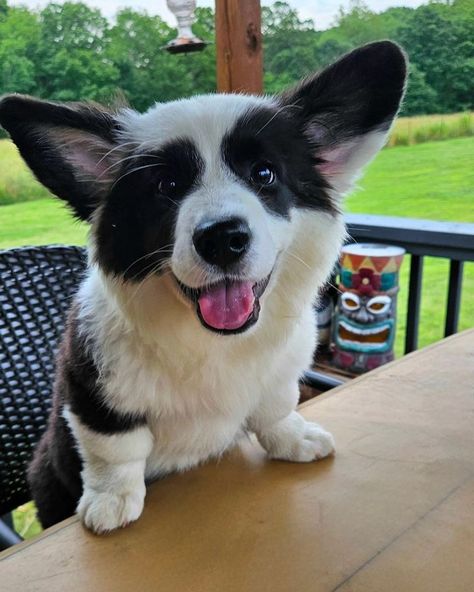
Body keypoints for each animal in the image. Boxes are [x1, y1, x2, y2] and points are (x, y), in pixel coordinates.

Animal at [0, 40, 408, 532]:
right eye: (167, 184)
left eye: (264, 174)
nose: (221, 239)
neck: (213, 343)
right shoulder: (90, 391)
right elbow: (116, 449)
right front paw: (112, 500)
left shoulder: (278, 376)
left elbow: (276, 408)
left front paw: (293, 439)